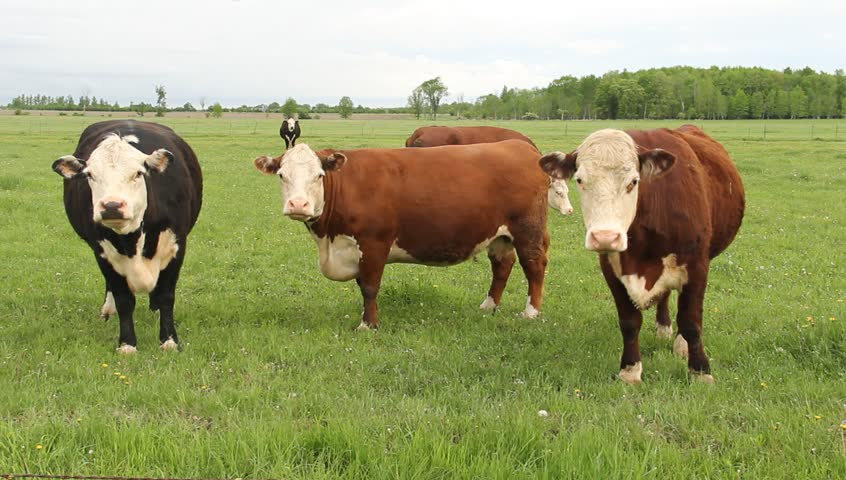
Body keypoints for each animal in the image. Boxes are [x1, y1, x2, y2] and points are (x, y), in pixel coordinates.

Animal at [51, 120, 204, 352]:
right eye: (90, 175)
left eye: (138, 173)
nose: (112, 206)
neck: (132, 239)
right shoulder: (102, 251)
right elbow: (124, 299)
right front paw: (127, 345)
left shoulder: (177, 246)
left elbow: (166, 296)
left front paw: (169, 341)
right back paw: (108, 310)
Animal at [255, 140, 552, 330]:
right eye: (281, 175)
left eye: (318, 175)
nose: (298, 205)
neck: (329, 241)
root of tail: (520, 145)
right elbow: (363, 285)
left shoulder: (374, 243)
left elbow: (370, 286)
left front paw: (368, 325)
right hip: (500, 235)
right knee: (502, 266)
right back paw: (489, 306)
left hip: (528, 230)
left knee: (534, 266)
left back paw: (531, 312)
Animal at [540, 125, 744, 384]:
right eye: (580, 180)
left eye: (633, 182)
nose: (605, 236)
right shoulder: (611, 268)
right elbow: (629, 322)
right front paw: (630, 370)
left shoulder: (698, 266)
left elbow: (691, 321)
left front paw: (700, 371)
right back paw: (664, 328)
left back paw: (681, 344)